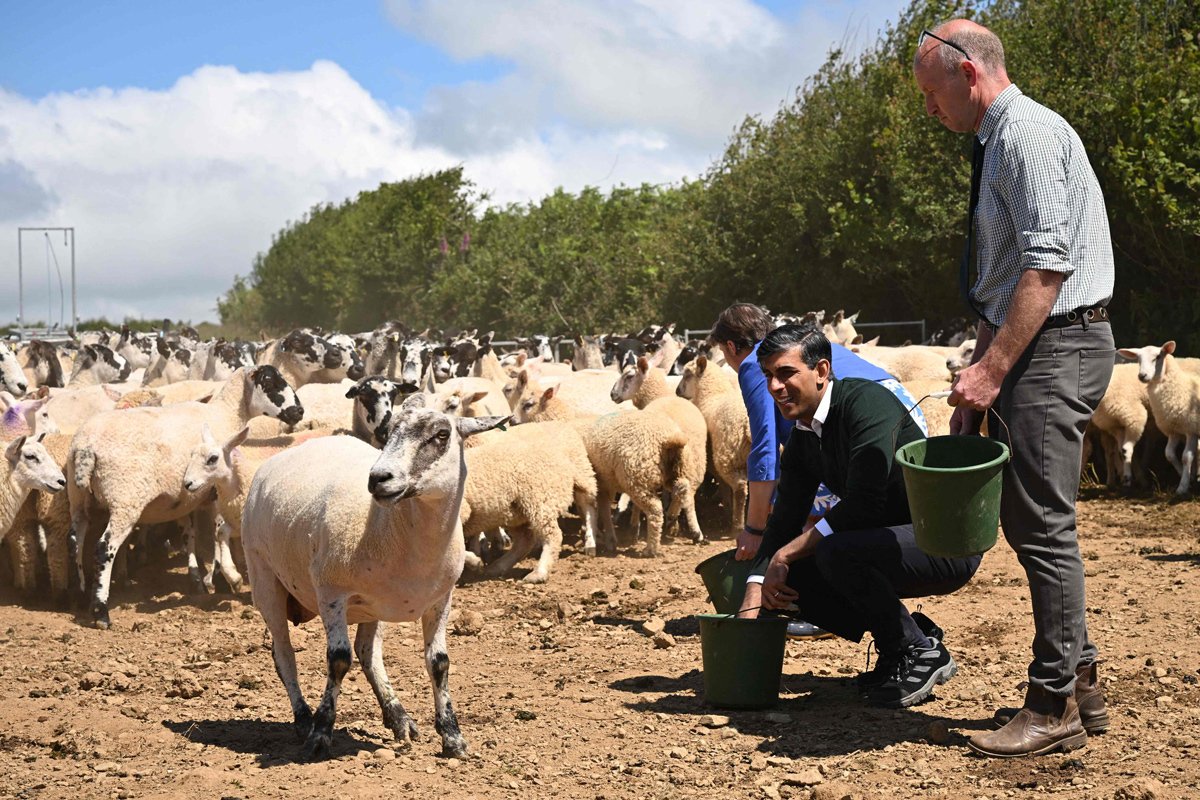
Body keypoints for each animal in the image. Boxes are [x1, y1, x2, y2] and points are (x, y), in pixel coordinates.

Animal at [238, 393, 506, 762]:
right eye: (389, 431)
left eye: (441, 435)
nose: (379, 477)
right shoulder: (331, 593)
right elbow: (338, 660)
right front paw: (320, 733)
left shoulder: (441, 600)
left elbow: (439, 663)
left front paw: (453, 738)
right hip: (264, 578)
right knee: (284, 655)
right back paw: (303, 719)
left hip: (371, 606)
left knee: (368, 653)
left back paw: (398, 717)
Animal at [676, 352, 748, 534]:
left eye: (687, 374)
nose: (677, 391)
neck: (712, 394)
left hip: (727, 457)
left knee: (740, 488)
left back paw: (737, 526)